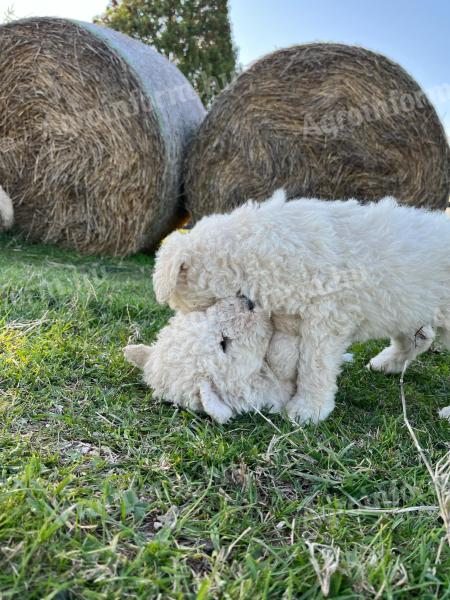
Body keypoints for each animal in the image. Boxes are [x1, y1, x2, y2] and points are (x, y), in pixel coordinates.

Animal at [154, 190, 450, 424]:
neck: (251, 253)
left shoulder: (325, 318)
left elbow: (314, 364)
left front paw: (307, 409)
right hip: (407, 306)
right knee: (420, 337)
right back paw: (386, 363)